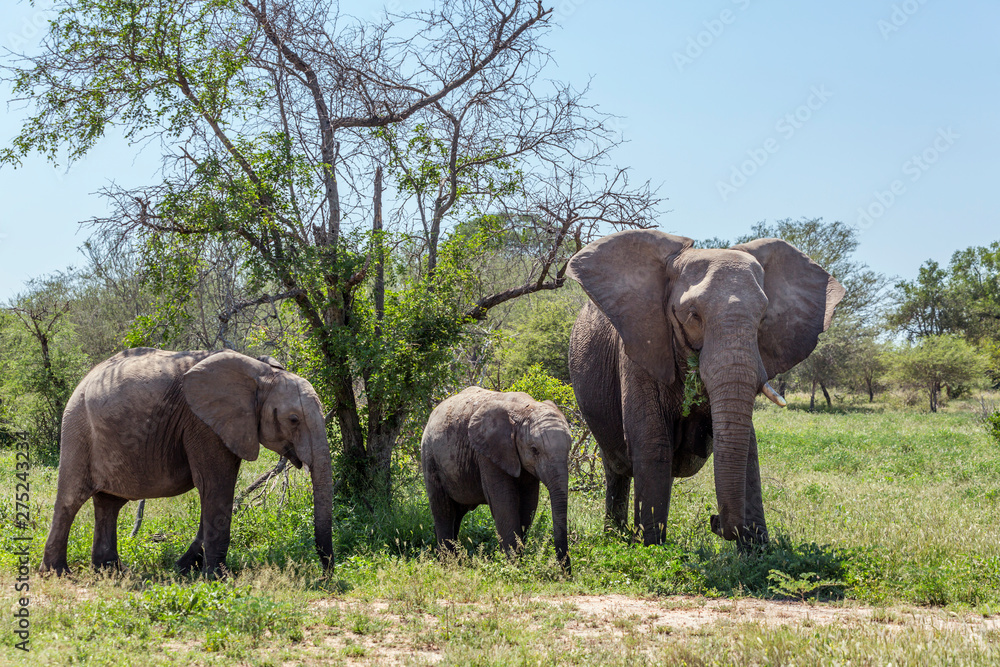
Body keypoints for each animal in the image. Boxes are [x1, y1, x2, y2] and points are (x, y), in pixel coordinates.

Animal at [41, 350, 334, 576]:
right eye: (294, 419)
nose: (326, 575)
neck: (260, 372)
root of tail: (83, 381)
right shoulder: (203, 424)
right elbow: (216, 488)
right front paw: (217, 578)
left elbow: (217, 491)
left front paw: (184, 568)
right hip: (78, 428)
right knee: (71, 499)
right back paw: (58, 572)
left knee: (108, 503)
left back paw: (112, 571)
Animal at [418, 388, 572, 572]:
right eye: (534, 450)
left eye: (569, 448)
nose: (566, 574)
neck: (524, 408)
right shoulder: (487, 452)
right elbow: (504, 503)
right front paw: (514, 566)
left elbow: (528, 505)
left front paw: (518, 561)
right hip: (430, 456)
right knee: (444, 510)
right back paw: (448, 564)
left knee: (457, 512)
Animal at [568, 230, 840, 548]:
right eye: (693, 315)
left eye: (763, 318)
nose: (714, 521)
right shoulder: (639, 344)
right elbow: (652, 443)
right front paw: (651, 548)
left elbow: (748, 448)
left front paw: (758, 551)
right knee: (616, 468)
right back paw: (615, 536)